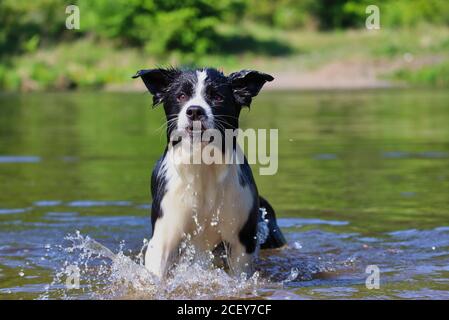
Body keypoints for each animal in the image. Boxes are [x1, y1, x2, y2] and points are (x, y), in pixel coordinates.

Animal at [133, 67, 286, 278]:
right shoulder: (165, 233)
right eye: (181, 96)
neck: (202, 164)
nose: (195, 111)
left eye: (217, 97)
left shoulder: (241, 239)